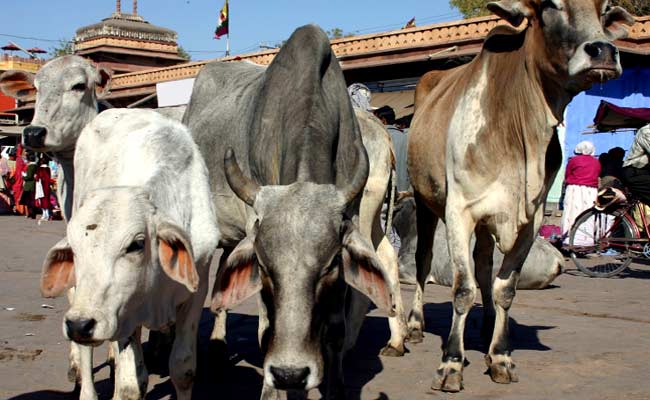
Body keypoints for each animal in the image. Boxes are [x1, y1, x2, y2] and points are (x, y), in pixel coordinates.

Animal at [40, 108, 219, 400]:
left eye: (136, 244)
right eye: (74, 249)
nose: (80, 325)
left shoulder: (197, 287)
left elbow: (183, 368)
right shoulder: (123, 313)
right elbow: (130, 385)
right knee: (87, 351)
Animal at [183, 25, 406, 398]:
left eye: (330, 265)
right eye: (263, 265)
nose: (290, 373)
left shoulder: (350, 221)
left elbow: (336, 328)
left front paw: (336, 386)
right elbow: (264, 329)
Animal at [407, 0, 634, 392]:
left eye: (604, 10)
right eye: (550, 5)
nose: (604, 51)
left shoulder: (530, 220)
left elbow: (505, 289)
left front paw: (500, 356)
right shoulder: (458, 211)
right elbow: (462, 289)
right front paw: (451, 363)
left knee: (484, 265)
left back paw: (486, 329)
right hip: (425, 202)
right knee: (424, 261)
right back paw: (415, 326)